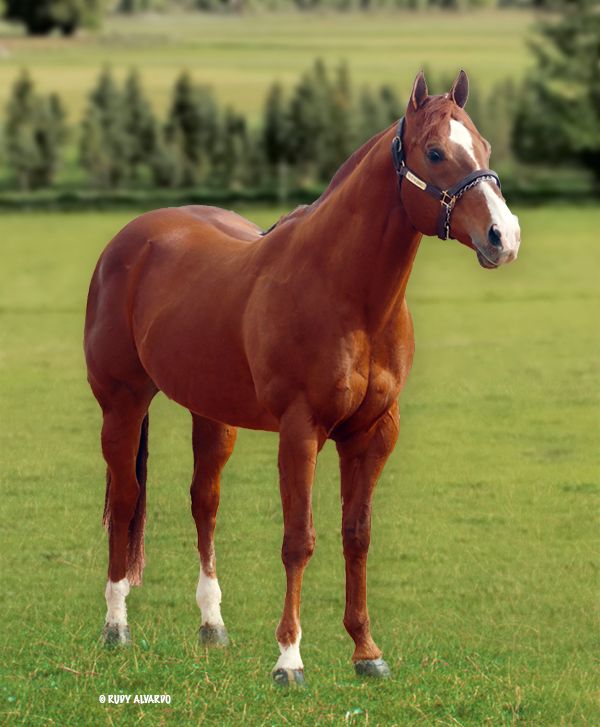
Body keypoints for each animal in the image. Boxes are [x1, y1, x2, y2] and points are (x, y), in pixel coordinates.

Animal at [84, 69, 520, 686]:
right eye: (435, 152)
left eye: (483, 148)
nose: (503, 236)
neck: (345, 292)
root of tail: (131, 240)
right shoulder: (300, 431)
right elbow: (299, 540)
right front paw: (289, 658)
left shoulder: (374, 433)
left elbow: (356, 536)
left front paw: (366, 651)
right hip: (121, 404)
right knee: (125, 500)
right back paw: (116, 625)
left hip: (210, 413)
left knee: (204, 502)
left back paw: (212, 625)